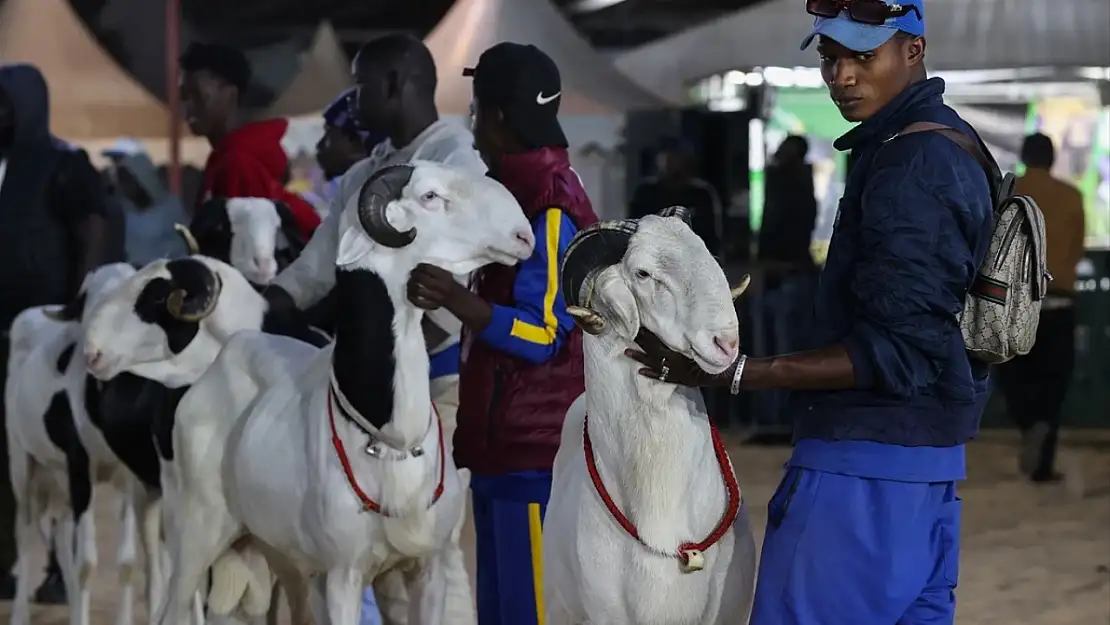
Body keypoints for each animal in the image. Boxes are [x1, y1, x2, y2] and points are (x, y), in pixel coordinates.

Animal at [142, 160, 532, 625]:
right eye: (430, 196)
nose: (523, 236)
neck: (391, 433)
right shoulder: (343, 574)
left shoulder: (427, 566)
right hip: (198, 529)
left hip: (277, 556)